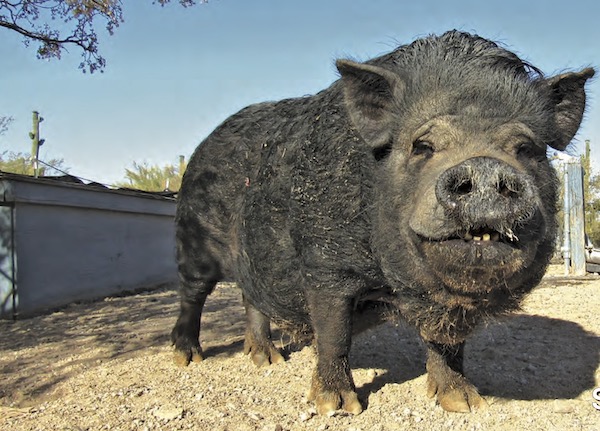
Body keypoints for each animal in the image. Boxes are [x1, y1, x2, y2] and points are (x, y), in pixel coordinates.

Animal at [170, 30, 596, 416]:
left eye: (527, 149)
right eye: (422, 146)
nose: (485, 166)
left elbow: (448, 345)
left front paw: (466, 404)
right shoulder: (325, 265)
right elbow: (334, 333)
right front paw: (337, 407)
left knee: (250, 296)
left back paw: (266, 359)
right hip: (193, 236)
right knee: (193, 292)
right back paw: (188, 357)